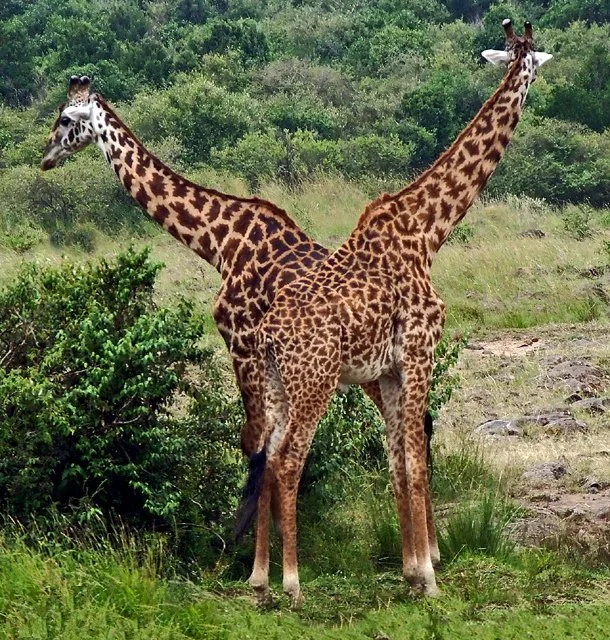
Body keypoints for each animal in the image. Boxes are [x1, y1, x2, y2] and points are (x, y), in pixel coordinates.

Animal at [244, 20, 552, 607]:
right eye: (530, 66)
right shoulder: (420, 351)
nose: (535, 90)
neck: (429, 230)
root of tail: (268, 333)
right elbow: (416, 461)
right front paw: (428, 579)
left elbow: (397, 464)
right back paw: (293, 584)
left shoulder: (386, 370)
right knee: (290, 460)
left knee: (267, 457)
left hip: (276, 384)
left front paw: (411, 570)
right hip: (314, 381)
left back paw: (260, 578)